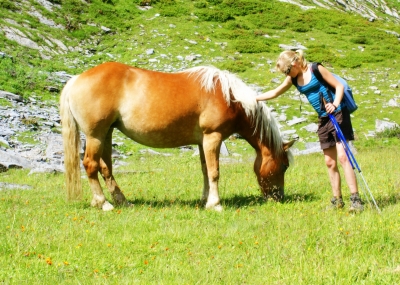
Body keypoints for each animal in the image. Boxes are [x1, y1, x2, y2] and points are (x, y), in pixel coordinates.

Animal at [61, 61, 296, 211]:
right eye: (284, 166)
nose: (278, 197)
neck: (229, 97)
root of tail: (76, 79)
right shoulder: (213, 137)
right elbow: (214, 172)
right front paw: (216, 204)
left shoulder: (203, 142)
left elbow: (205, 170)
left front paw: (205, 199)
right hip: (95, 135)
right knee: (91, 165)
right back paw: (104, 203)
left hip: (107, 134)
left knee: (106, 167)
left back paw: (121, 202)